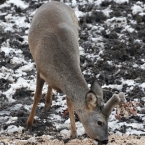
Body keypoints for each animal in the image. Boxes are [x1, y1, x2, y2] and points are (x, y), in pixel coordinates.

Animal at [26, 1, 125, 144]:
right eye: (99, 122)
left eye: (109, 120)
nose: (105, 140)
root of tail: (54, 2)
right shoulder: (39, 70)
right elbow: (36, 96)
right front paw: (28, 124)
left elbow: (70, 103)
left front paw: (73, 133)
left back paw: (48, 103)